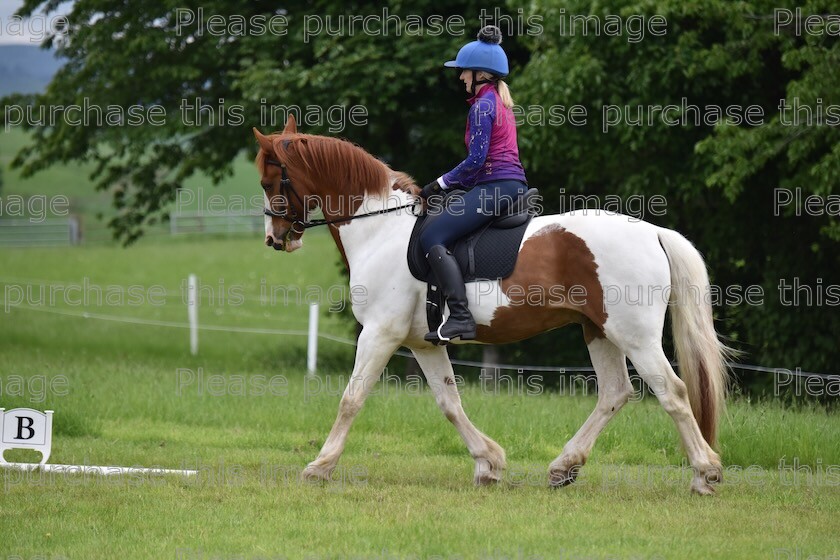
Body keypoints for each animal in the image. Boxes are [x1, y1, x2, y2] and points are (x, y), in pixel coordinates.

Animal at [253, 117, 732, 494]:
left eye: (270, 182)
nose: (275, 239)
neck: (381, 229)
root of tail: (652, 232)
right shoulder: (423, 343)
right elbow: (449, 403)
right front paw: (489, 464)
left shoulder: (379, 334)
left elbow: (352, 399)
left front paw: (319, 467)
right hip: (598, 330)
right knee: (615, 392)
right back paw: (564, 467)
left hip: (635, 335)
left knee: (672, 392)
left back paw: (704, 474)